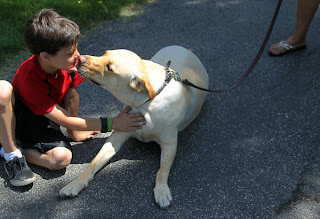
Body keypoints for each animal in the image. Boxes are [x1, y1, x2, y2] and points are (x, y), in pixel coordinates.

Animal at [59, 45, 209, 208]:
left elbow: (162, 170)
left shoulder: (170, 145)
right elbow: (94, 162)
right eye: (105, 53)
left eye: (110, 67)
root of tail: (185, 49)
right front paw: (76, 183)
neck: (145, 104)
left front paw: (161, 190)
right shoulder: (117, 136)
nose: (79, 58)